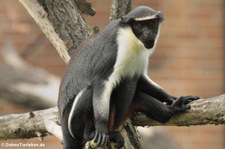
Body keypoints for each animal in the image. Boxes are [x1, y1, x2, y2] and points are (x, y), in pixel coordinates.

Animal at [57, 5, 199, 149]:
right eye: (139, 25)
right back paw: (91, 133)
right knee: (91, 91)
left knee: (133, 86)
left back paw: (170, 111)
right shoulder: (113, 52)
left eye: (151, 23)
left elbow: (140, 79)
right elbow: (101, 81)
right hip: (74, 124)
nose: (147, 33)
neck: (131, 38)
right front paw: (101, 126)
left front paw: (171, 98)